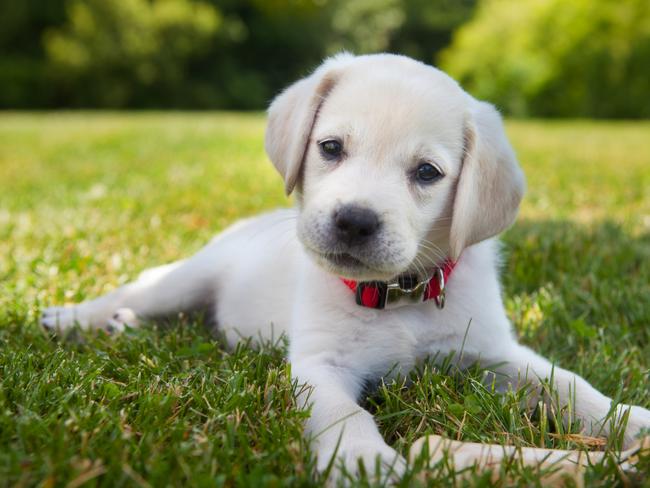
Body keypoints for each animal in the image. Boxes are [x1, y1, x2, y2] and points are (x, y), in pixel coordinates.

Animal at [41, 54, 648, 480]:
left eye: (427, 172)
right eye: (330, 147)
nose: (355, 221)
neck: (398, 296)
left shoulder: (492, 351)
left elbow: (566, 381)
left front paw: (629, 419)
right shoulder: (320, 366)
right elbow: (343, 415)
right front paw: (364, 461)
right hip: (187, 279)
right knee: (140, 289)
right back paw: (76, 317)